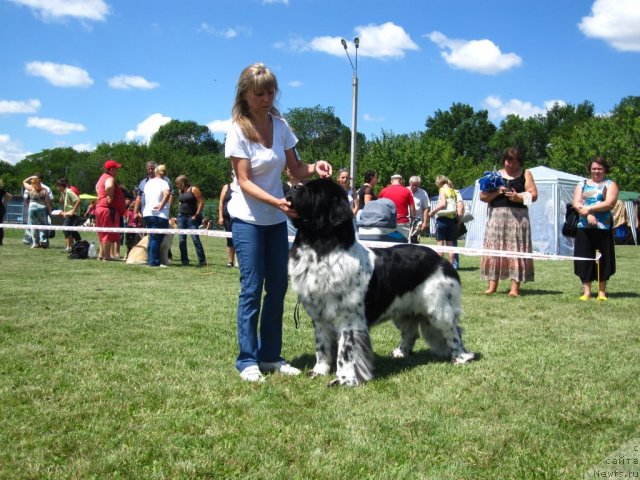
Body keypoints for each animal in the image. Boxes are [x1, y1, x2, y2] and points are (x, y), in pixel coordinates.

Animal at [290, 179, 476, 386]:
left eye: (314, 191)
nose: (293, 186)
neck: (320, 248)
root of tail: (440, 260)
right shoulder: (320, 316)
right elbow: (322, 346)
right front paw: (319, 371)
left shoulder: (349, 319)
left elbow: (346, 352)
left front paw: (344, 380)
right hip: (404, 310)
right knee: (411, 332)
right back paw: (401, 352)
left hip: (438, 309)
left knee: (453, 331)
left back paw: (461, 357)